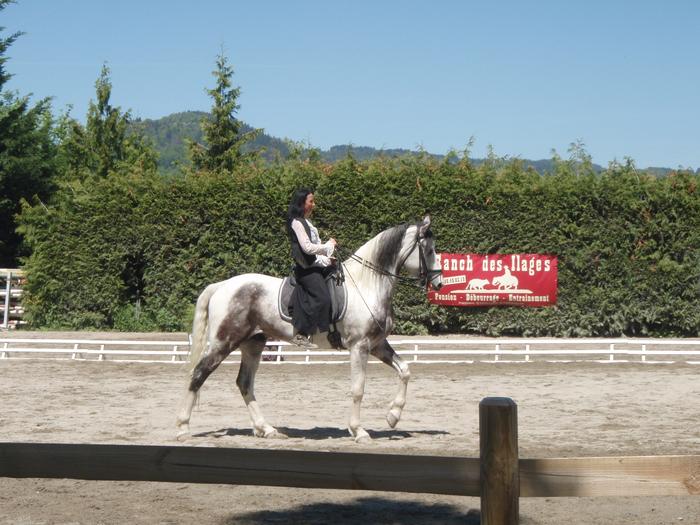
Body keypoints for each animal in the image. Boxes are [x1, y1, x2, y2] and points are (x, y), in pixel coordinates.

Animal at [178, 215, 446, 440]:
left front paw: (393, 416)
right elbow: (358, 388)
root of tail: (222, 285)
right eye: (429, 249)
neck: (367, 284)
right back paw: (183, 428)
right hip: (224, 341)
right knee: (199, 374)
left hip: (253, 343)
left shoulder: (377, 344)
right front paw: (358, 431)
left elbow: (405, 370)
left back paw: (266, 429)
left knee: (244, 383)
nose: (439, 283)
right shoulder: (359, 346)